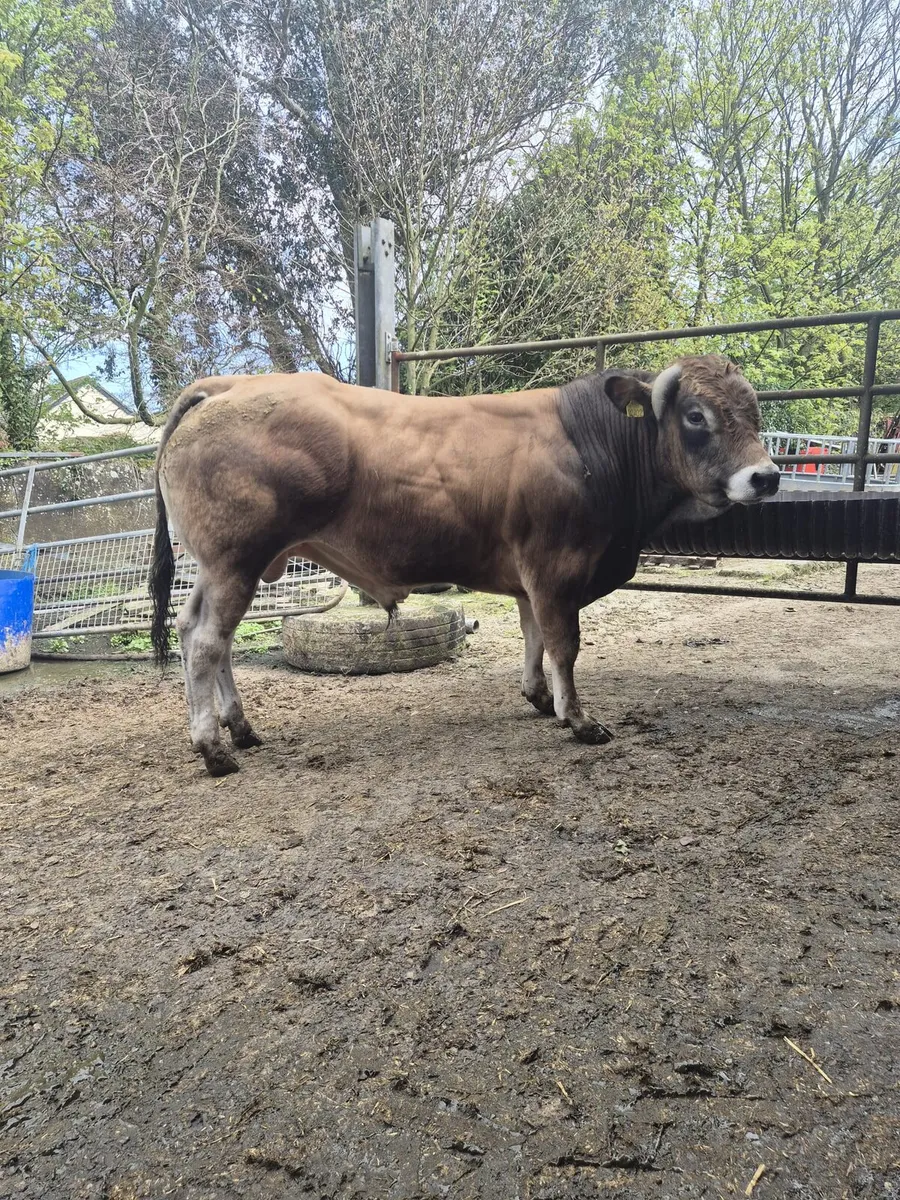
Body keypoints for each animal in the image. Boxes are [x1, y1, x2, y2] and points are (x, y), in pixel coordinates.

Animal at [149, 355, 779, 776]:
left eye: (753, 412)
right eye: (695, 416)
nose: (767, 477)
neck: (591, 447)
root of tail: (227, 385)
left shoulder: (530, 578)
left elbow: (533, 638)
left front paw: (539, 698)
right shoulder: (555, 569)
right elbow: (564, 645)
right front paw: (579, 720)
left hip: (219, 568)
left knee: (197, 631)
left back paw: (240, 728)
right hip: (236, 560)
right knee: (207, 642)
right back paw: (213, 749)